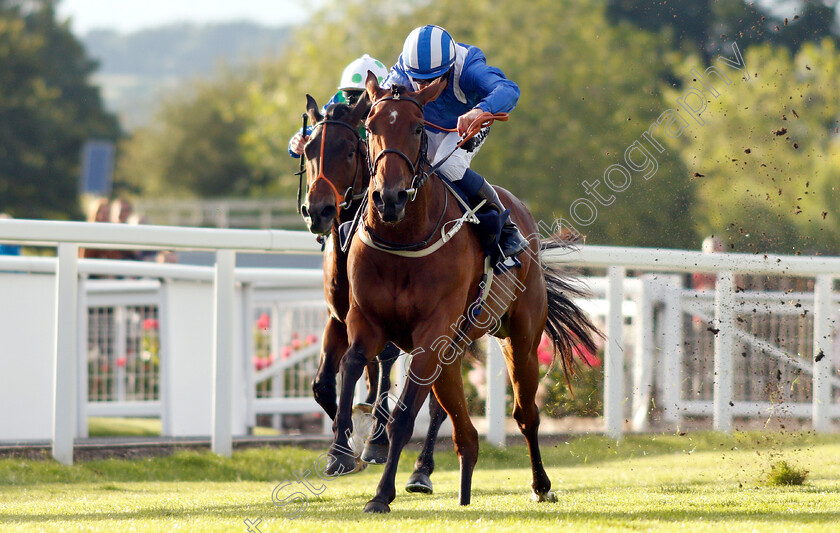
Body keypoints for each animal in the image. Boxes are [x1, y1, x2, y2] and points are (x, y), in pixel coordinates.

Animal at [300, 92, 450, 490]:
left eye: (351, 149)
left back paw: (419, 466)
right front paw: (346, 446)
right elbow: (324, 385)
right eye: (308, 149)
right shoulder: (340, 317)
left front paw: (375, 440)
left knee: (436, 401)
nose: (318, 210)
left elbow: (385, 362)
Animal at [324, 71, 600, 512]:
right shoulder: (366, 320)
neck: (404, 239)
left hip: (520, 338)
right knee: (463, 428)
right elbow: (351, 365)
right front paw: (340, 452)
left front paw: (381, 494)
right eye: (371, 125)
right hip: (452, 353)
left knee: (525, 414)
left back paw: (541, 484)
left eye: (418, 128)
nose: (389, 197)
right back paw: (463, 487)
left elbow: (404, 416)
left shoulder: (431, 332)